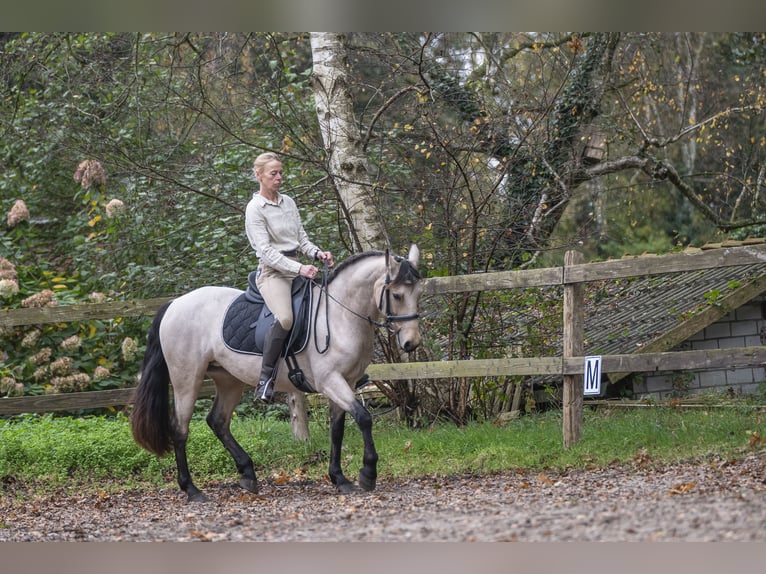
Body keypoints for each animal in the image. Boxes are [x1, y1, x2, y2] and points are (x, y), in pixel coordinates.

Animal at [129, 245, 424, 502]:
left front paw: (339, 479)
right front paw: (368, 474)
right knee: (181, 429)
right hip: (186, 378)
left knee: (218, 421)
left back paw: (248, 475)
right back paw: (192, 490)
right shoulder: (330, 381)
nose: (412, 343)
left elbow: (337, 430)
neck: (339, 316)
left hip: (228, 380)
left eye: (417, 292)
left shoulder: (346, 382)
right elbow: (364, 418)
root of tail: (175, 303)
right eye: (397, 295)